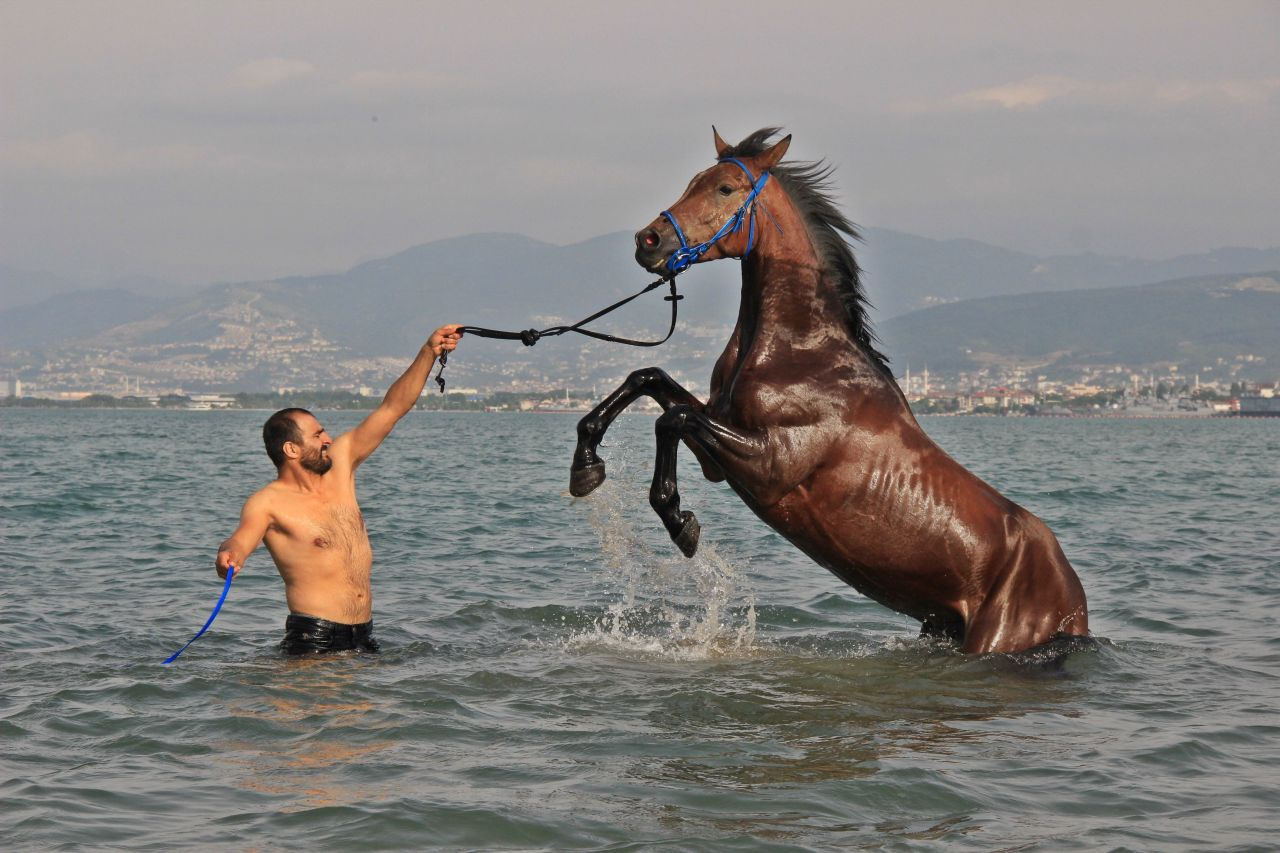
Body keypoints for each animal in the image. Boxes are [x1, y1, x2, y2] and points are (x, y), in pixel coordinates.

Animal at [570, 129, 1090, 653]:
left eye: (725, 188)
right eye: (694, 180)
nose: (648, 241)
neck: (802, 349)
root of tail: (1072, 599)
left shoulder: (771, 464)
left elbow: (671, 418)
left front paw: (680, 521)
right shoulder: (719, 453)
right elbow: (647, 377)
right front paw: (586, 466)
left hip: (995, 639)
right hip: (941, 624)